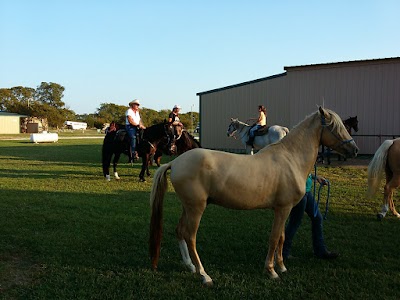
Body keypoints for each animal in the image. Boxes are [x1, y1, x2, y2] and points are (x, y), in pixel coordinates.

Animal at [150, 107, 360, 284]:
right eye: (334, 127)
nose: (354, 150)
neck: (290, 158)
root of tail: (175, 162)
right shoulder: (283, 209)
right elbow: (274, 238)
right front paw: (271, 271)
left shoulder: (283, 210)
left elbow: (282, 237)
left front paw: (282, 267)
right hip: (196, 208)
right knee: (190, 236)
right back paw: (204, 275)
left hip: (188, 207)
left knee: (179, 231)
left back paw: (190, 266)